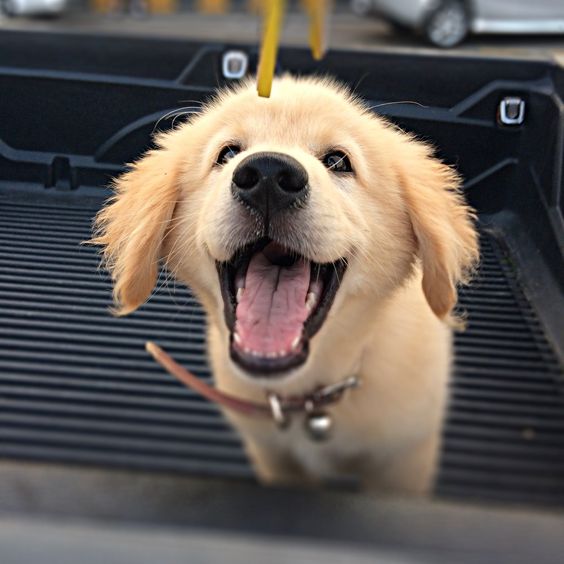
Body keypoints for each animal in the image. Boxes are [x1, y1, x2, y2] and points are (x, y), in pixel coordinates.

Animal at [91, 75, 476, 494]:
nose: (268, 177)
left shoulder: (406, 458)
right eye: (227, 153)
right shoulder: (271, 452)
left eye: (338, 161)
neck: (308, 394)